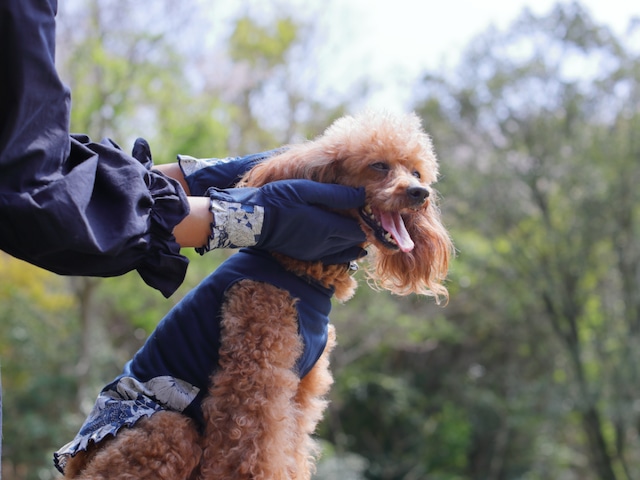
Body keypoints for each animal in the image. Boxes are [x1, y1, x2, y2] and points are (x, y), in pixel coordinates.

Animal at [56, 110, 456, 478]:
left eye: (417, 173)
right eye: (378, 166)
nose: (420, 193)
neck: (300, 273)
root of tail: (77, 463)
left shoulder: (299, 393)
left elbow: (290, 451)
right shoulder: (254, 378)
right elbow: (252, 452)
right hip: (165, 429)